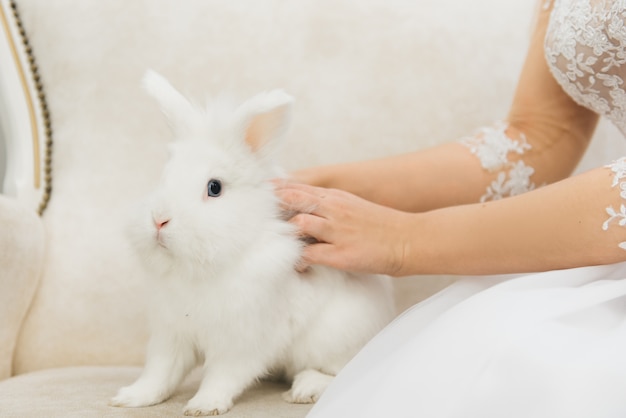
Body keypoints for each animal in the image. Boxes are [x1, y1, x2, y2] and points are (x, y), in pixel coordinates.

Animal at [109, 70, 392, 416]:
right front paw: (131, 398)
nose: (159, 220)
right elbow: (161, 373)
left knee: (340, 371)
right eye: (163, 177)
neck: (202, 267)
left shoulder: (242, 340)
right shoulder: (171, 334)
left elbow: (223, 376)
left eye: (214, 187)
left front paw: (203, 405)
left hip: (333, 337)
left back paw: (305, 388)